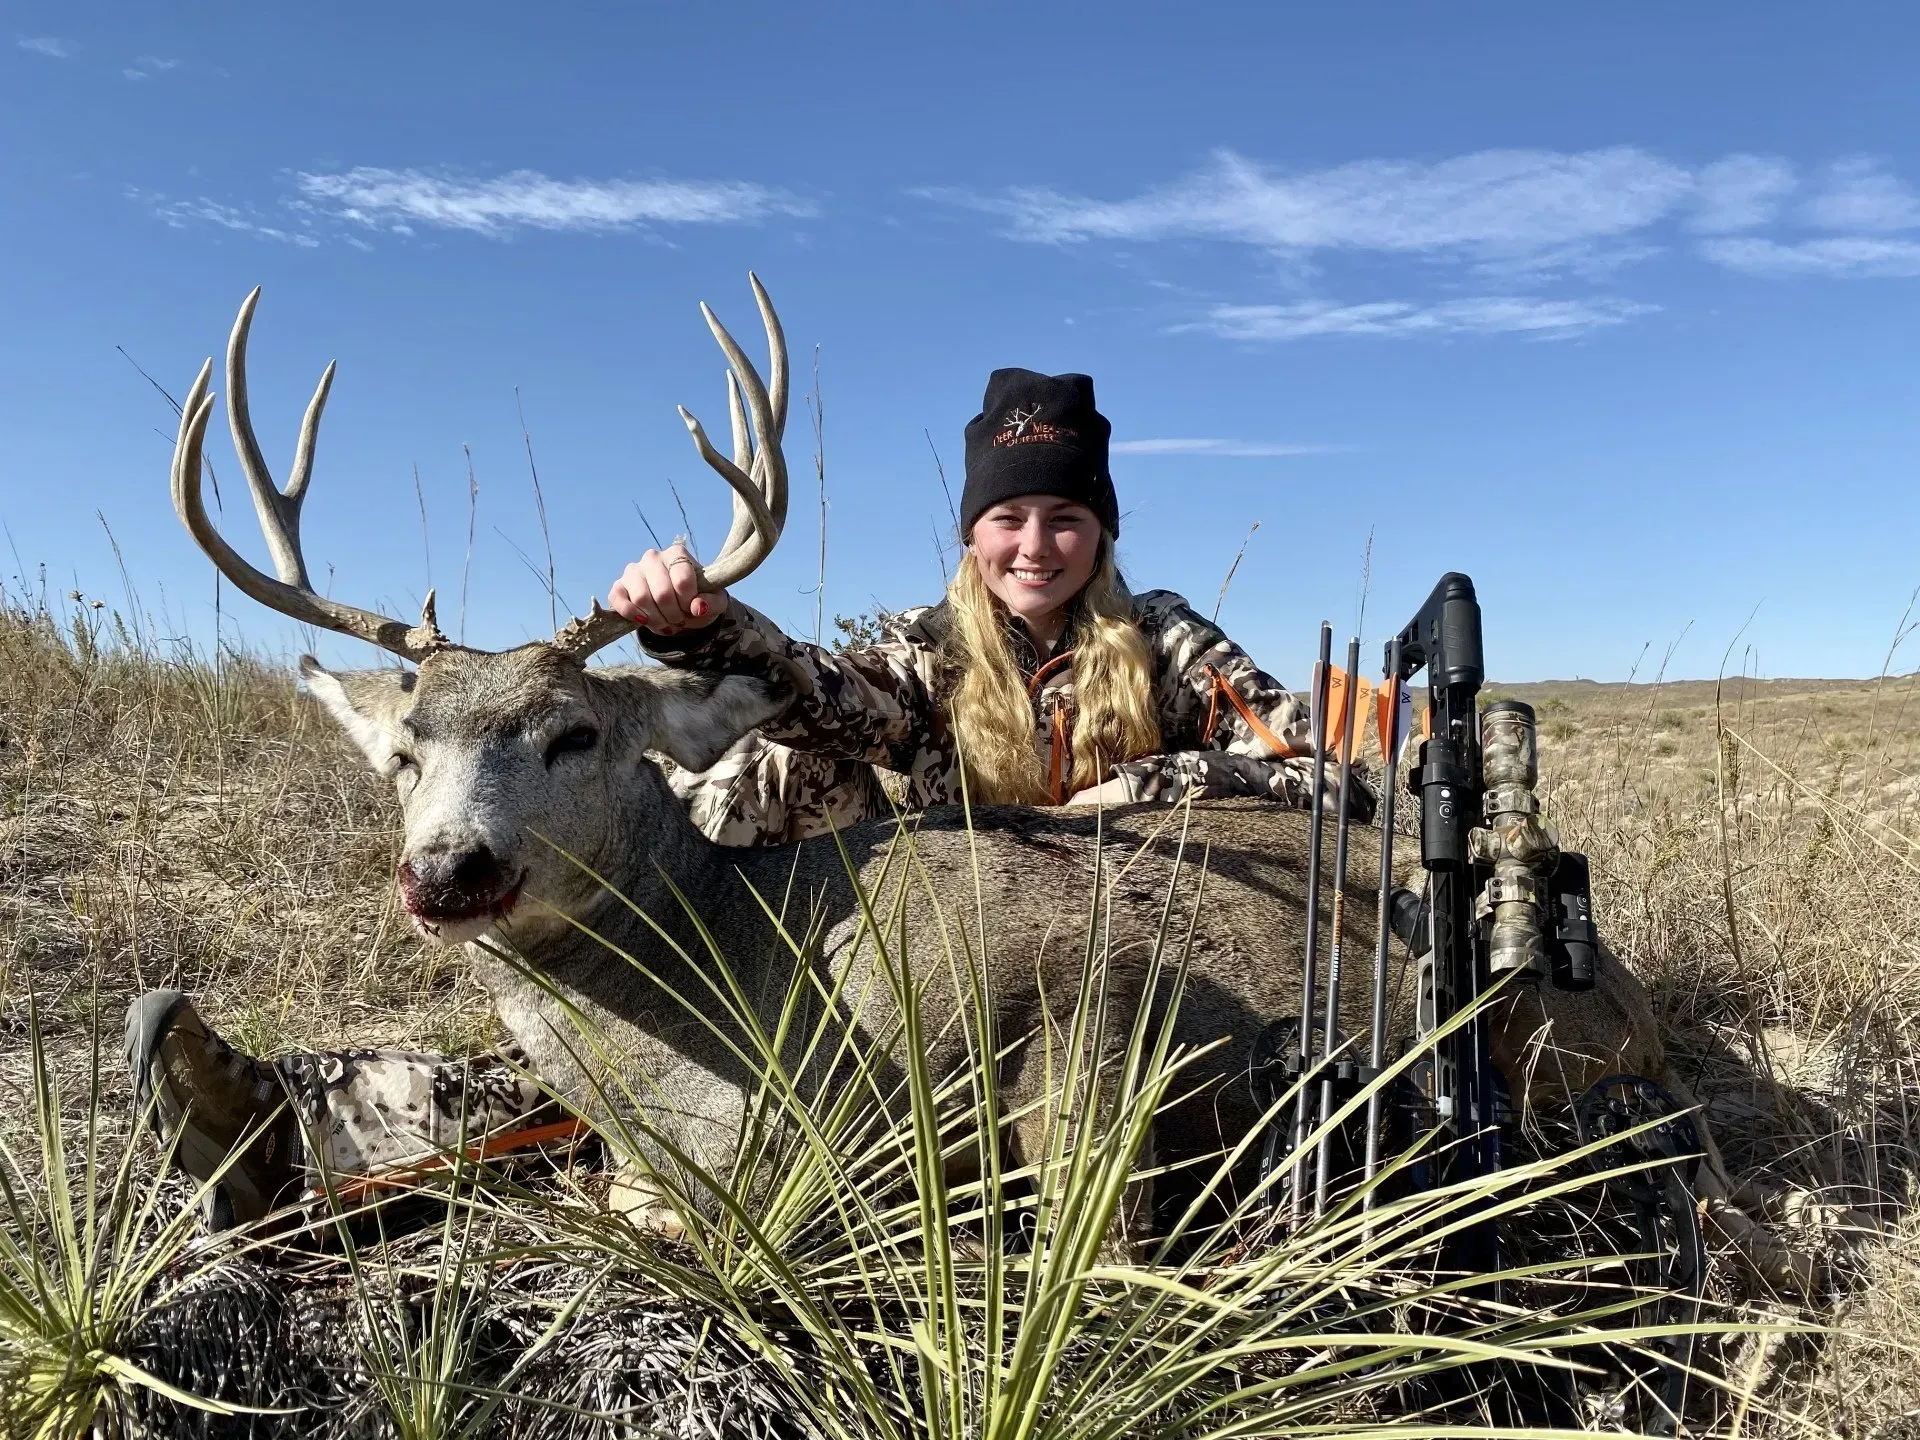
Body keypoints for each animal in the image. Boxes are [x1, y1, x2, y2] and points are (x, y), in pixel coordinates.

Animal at [160, 278, 1830, 1286]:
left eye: (575, 734)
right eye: (403, 751)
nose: (448, 870)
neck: (722, 1019)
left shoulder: (1077, 1032)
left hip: (1552, 1044)